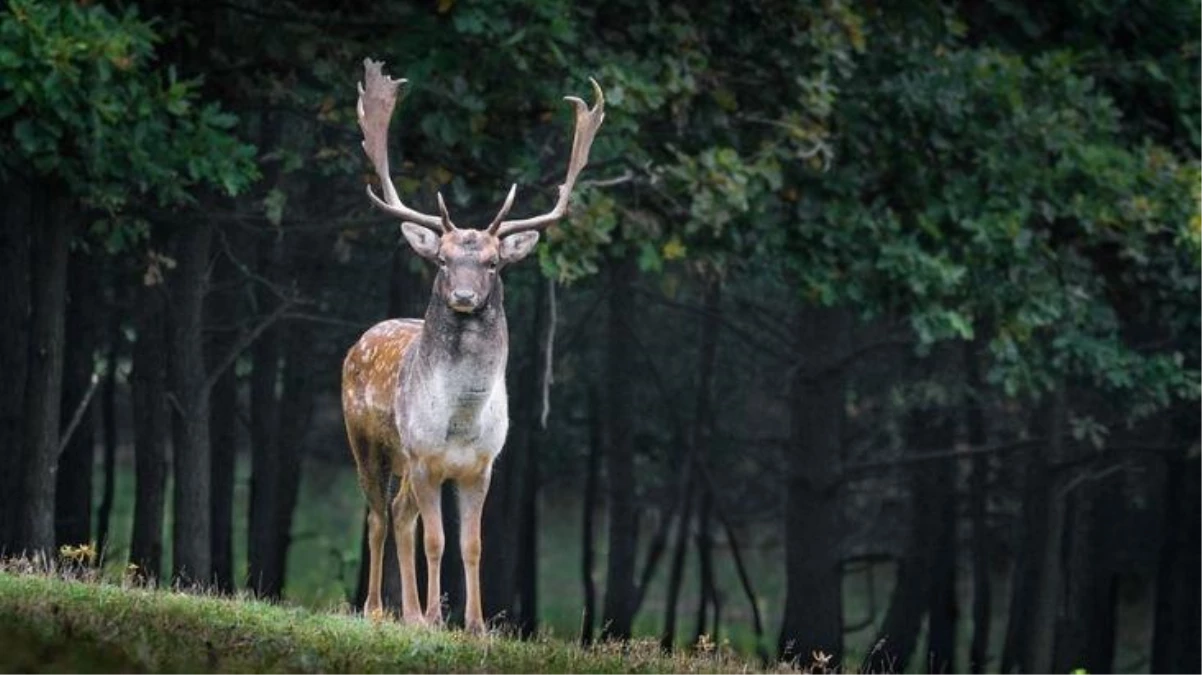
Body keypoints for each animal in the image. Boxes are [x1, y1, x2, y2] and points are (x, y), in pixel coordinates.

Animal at [338, 57, 601, 629]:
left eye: (493, 263)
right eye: (442, 260)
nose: (462, 295)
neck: (460, 421)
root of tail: (361, 340)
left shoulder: (481, 466)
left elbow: (473, 545)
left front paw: (475, 625)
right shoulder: (424, 456)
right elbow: (436, 540)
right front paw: (439, 618)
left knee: (398, 513)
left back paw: (410, 613)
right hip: (366, 441)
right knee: (377, 514)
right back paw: (377, 609)